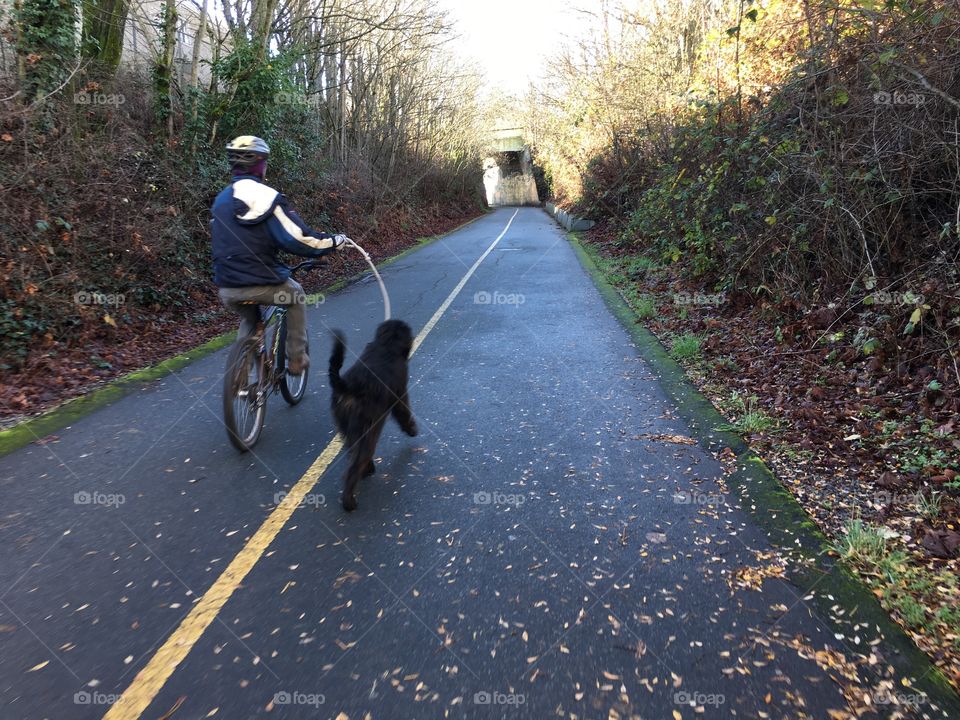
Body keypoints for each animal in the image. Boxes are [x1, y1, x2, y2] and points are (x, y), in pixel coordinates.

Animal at [330, 320, 416, 512]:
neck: (386, 345)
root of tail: (350, 387)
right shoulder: (400, 394)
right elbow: (404, 413)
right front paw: (412, 429)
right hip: (367, 431)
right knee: (355, 464)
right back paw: (349, 502)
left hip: (348, 430)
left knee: (353, 452)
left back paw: (367, 469)